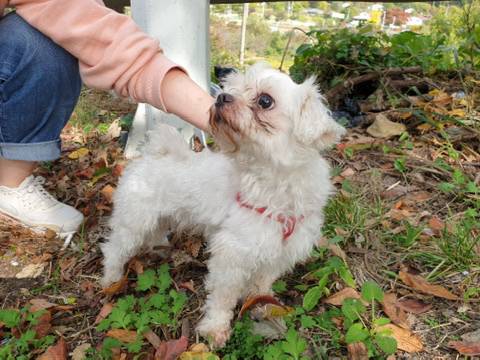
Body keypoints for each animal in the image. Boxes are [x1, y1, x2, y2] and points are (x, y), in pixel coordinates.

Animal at [102, 63, 344, 348]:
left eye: (265, 100)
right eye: (230, 89)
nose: (221, 98)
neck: (275, 182)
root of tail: (155, 153)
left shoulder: (280, 250)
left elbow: (261, 282)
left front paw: (261, 303)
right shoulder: (233, 253)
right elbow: (223, 296)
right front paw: (214, 328)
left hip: (159, 217)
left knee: (155, 232)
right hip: (134, 220)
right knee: (114, 249)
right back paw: (111, 279)